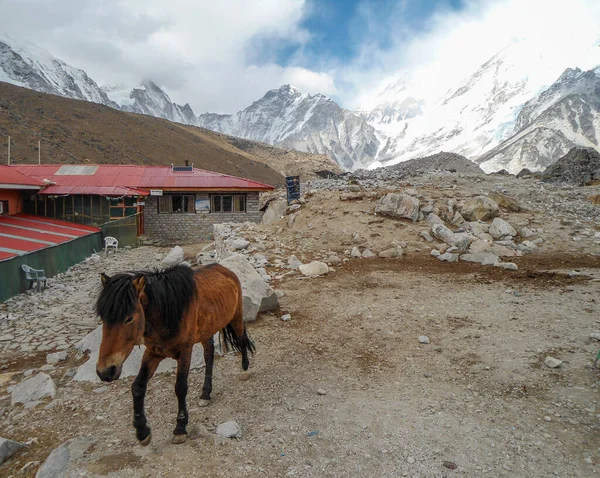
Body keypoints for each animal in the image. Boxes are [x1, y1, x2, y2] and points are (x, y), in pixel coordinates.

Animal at [95, 262, 254, 444]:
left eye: (129, 318)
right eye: (102, 317)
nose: (105, 371)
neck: (167, 313)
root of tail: (225, 270)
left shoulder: (185, 352)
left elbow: (180, 387)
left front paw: (180, 427)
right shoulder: (153, 352)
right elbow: (138, 386)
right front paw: (142, 431)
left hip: (235, 317)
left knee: (241, 338)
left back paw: (245, 367)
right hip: (206, 331)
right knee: (209, 355)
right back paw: (205, 394)